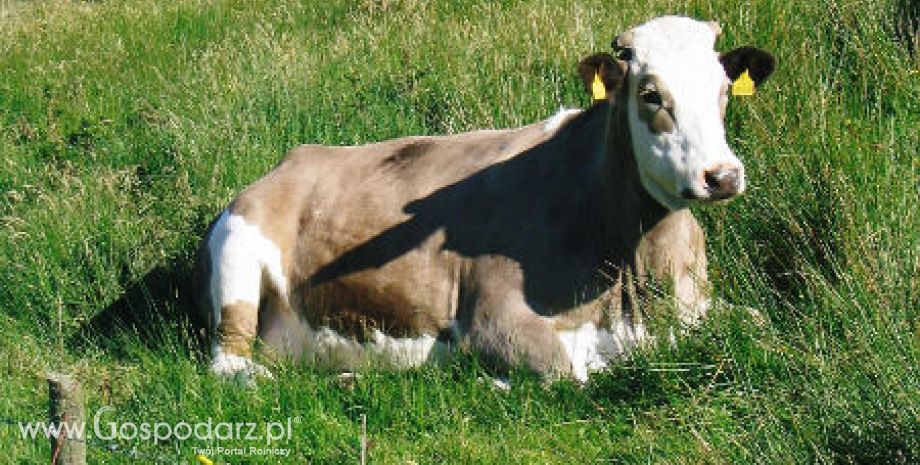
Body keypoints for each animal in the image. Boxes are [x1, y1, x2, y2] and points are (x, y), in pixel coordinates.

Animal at [194, 16, 776, 382]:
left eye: (724, 90)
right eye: (651, 94)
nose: (722, 176)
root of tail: (292, 161)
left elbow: (758, 322)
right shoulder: (494, 314)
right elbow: (569, 373)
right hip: (237, 256)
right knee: (231, 364)